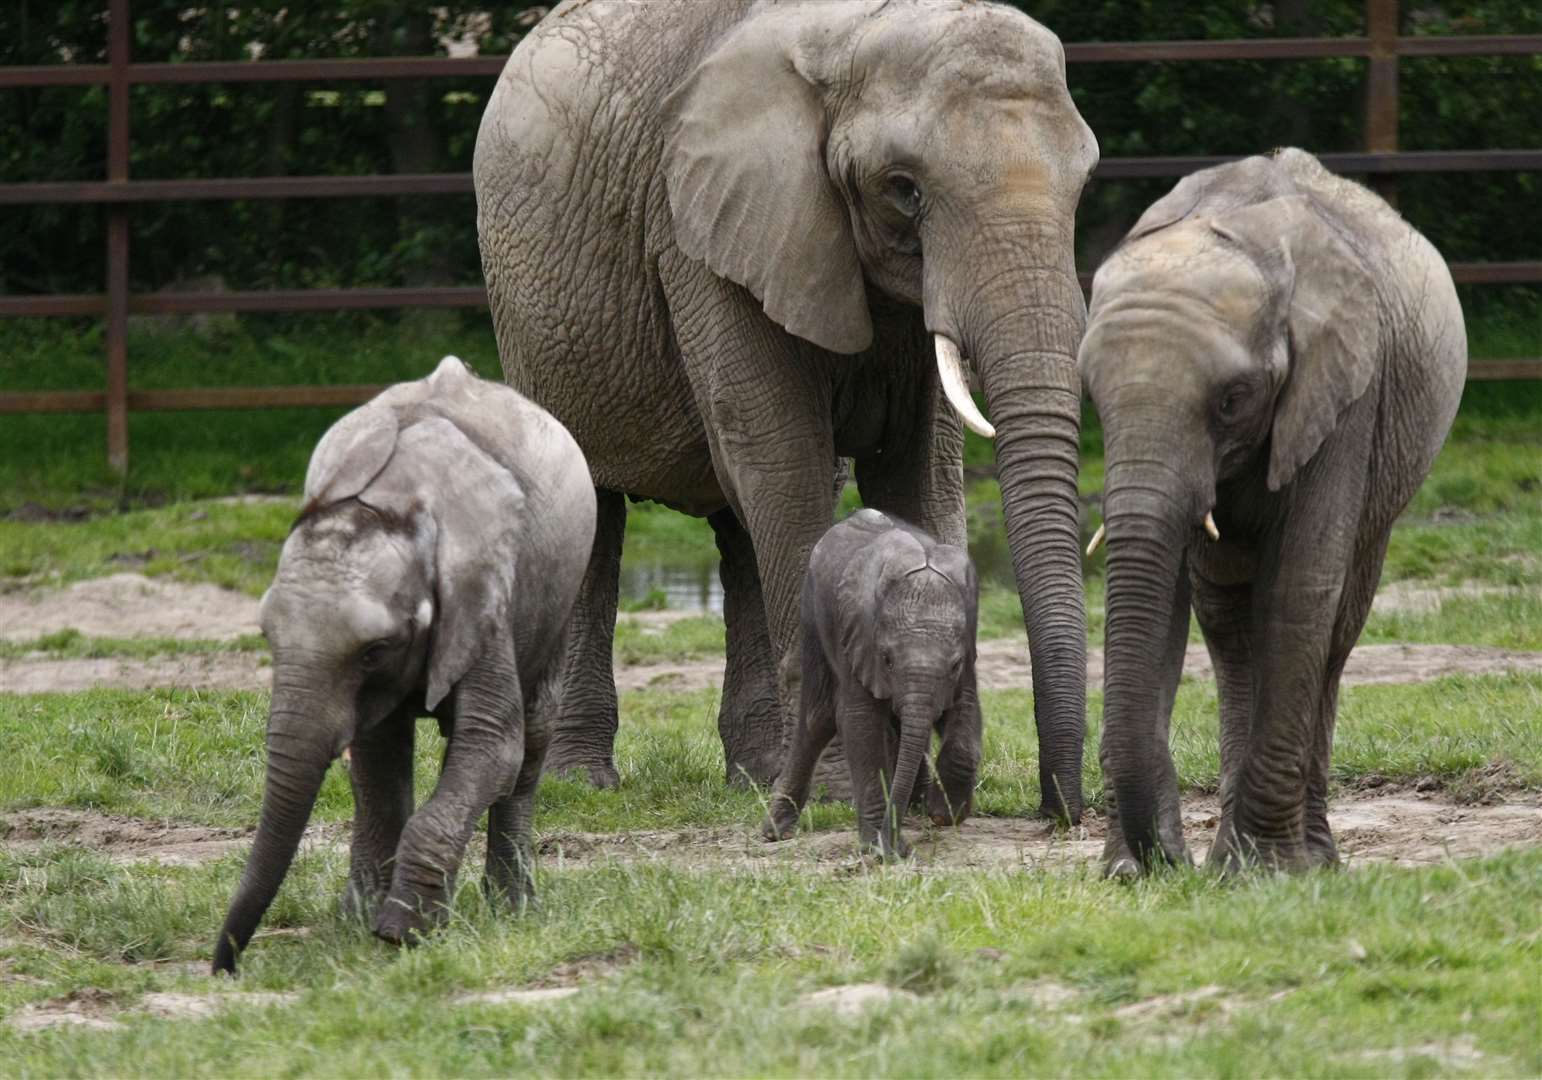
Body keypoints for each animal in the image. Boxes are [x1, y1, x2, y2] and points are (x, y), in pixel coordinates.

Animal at [214, 357, 598, 975]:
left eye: (375, 649)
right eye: (267, 636)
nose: (224, 968)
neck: (391, 503)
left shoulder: (482, 590)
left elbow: (493, 746)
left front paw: (399, 932)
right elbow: (377, 759)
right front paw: (359, 923)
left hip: (562, 586)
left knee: (533, 737)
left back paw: (512, 908)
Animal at [478, 0, 1097, 820]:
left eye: (1083, 183)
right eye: (904, 188)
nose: (1059, 811)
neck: (855, 30)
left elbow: (916, 479)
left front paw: (912, 791)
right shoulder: (701, 233)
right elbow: (785, 467)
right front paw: (848, 794)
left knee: (741, 532)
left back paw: (755, 772)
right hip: (529, 319)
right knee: (597, 508)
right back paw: (582, 781)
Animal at [764, 509, 980, 857]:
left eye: (955, 664)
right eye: (887, 659)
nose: (899, 848)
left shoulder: (968, 639)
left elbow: (965, 710)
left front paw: (943, 813)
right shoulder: (859, 635)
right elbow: (860, 723)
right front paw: (881, 848)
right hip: (812, 613)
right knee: (817, 719)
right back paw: (774, 832)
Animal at [1079, 147, 1461, 876]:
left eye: (1233, 399)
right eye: (1093, 397)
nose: (1166, 862)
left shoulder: (1345, 395)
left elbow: (1300, 589)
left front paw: (1271, 870)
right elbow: (1165, 600)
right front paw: (1133, 870)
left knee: (1335, 626)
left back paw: (1306, 858)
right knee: (1228, 622)